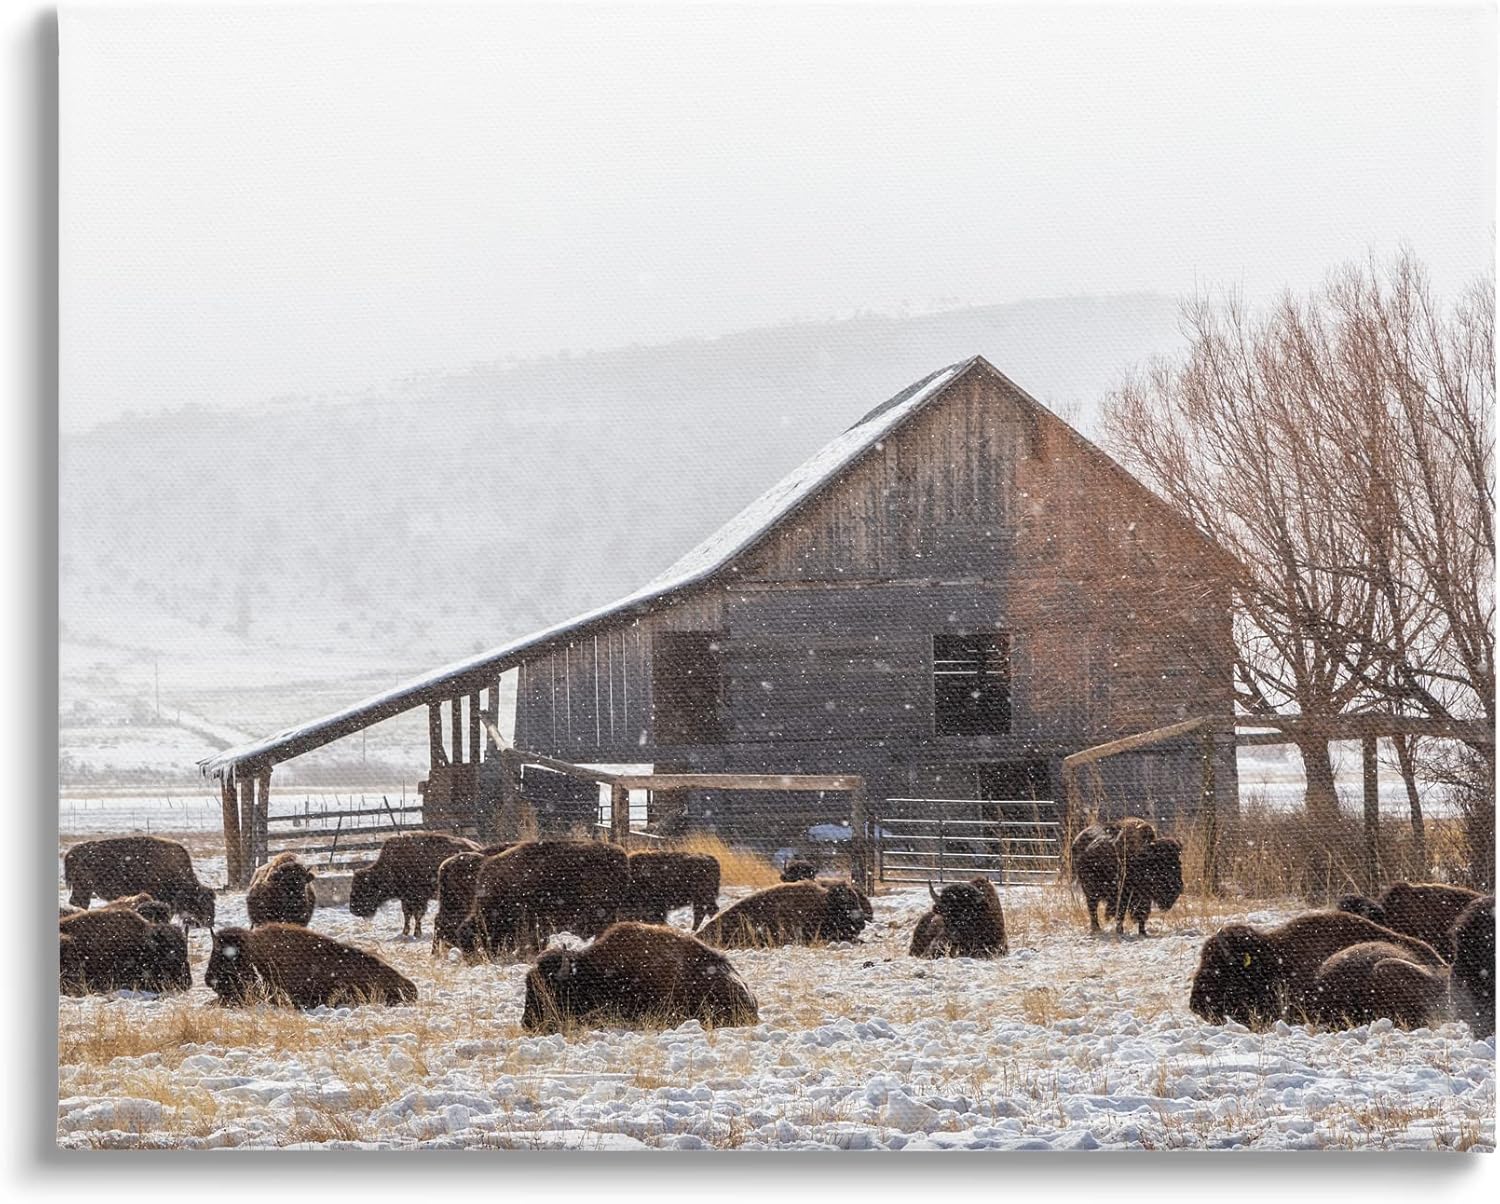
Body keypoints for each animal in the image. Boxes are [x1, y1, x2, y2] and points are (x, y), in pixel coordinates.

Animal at [349, 831, 480, 937]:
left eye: (364, 888)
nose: (353, 909)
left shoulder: (418, 898)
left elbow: (417, 915)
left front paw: (416, 933)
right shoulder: (406, 898)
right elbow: (407, 914)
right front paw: (405, 932)